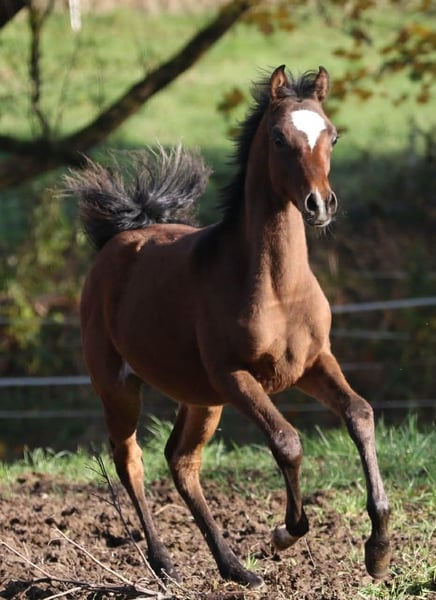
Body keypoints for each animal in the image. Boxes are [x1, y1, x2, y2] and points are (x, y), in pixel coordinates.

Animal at [65, 65, 391, 588]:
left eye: (333, 136)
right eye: (278, 138)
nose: (320, 205)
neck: (278, 289)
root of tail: (120, 238)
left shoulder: (313, 363)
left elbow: (360, 415)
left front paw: (378, 550)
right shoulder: (235, 376)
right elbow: (287, 441)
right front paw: (286, 532)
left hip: (201, 399)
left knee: (181, 461)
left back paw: (234, 567)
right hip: (119, 386)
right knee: (129, 459)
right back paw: (165, 563)